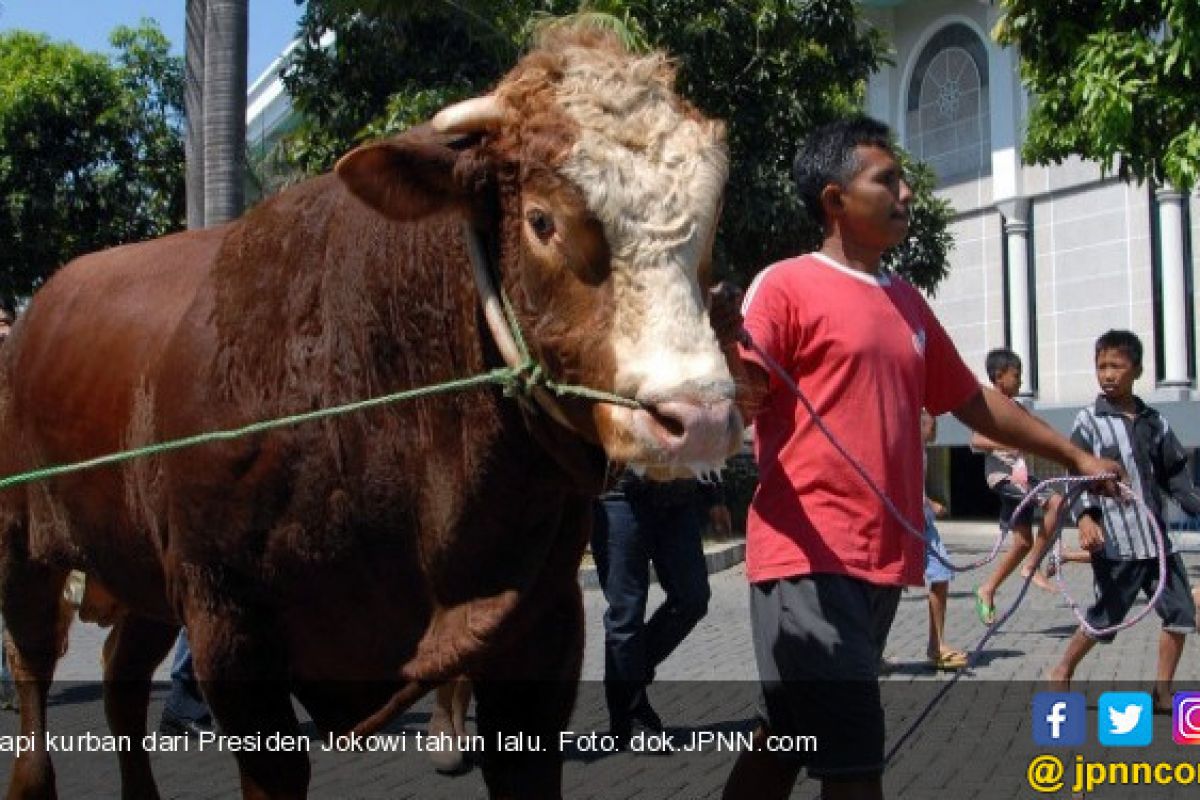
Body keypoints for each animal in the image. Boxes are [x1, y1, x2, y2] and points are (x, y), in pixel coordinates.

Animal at [0, 29, 739, 800]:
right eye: (542, 220)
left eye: (710, 223)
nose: (698, 420)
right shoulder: (228, 627)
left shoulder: (542, 618)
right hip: (22, 541)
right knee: (32, 661)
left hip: (138, 566)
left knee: (119, 672)